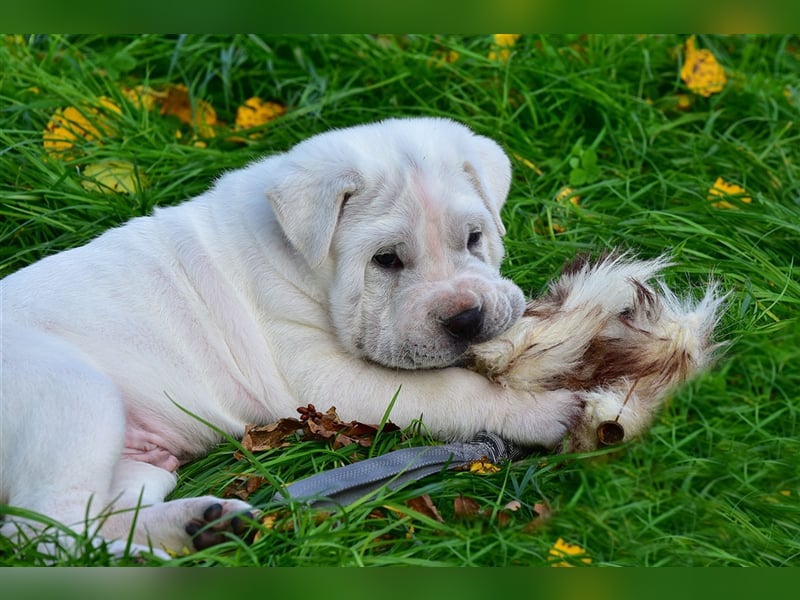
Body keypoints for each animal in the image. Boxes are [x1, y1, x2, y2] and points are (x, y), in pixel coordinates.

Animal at [0, 117, 580, 556]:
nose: (467, 319)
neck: (301, 261)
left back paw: (202, 524)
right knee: (42, 530)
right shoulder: (324, 378)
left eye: (475, 237)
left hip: (138, 464)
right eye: (385, 260)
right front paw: (543, 410)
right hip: (75, 393)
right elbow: (448, 390)